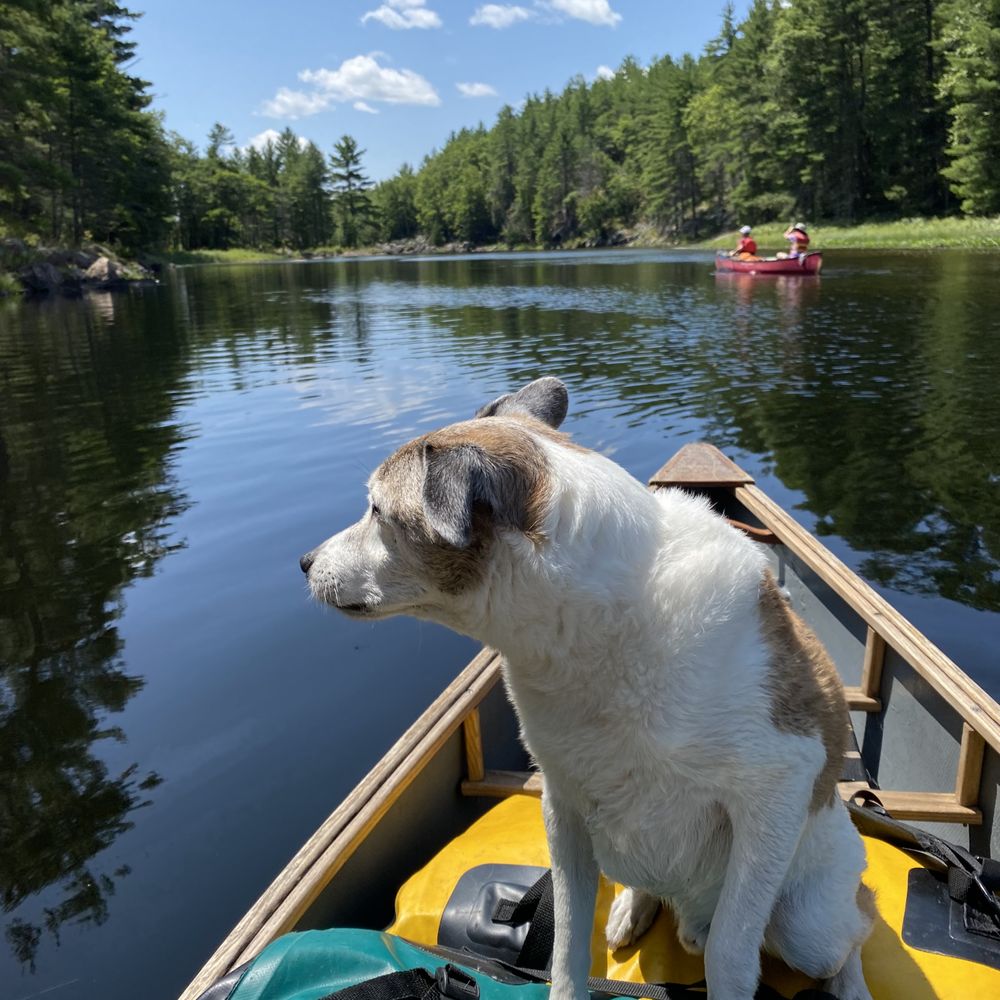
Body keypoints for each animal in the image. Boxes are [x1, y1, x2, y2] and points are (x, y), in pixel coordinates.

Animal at [298, 376, 876, 1000]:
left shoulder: (777, 786)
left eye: (378, 509)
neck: (604, 629)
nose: (304, 561)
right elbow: (570, 938)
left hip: (807, 923)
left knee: (852, 931)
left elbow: (730, 950)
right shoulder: (563, 804)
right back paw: (634, 908)